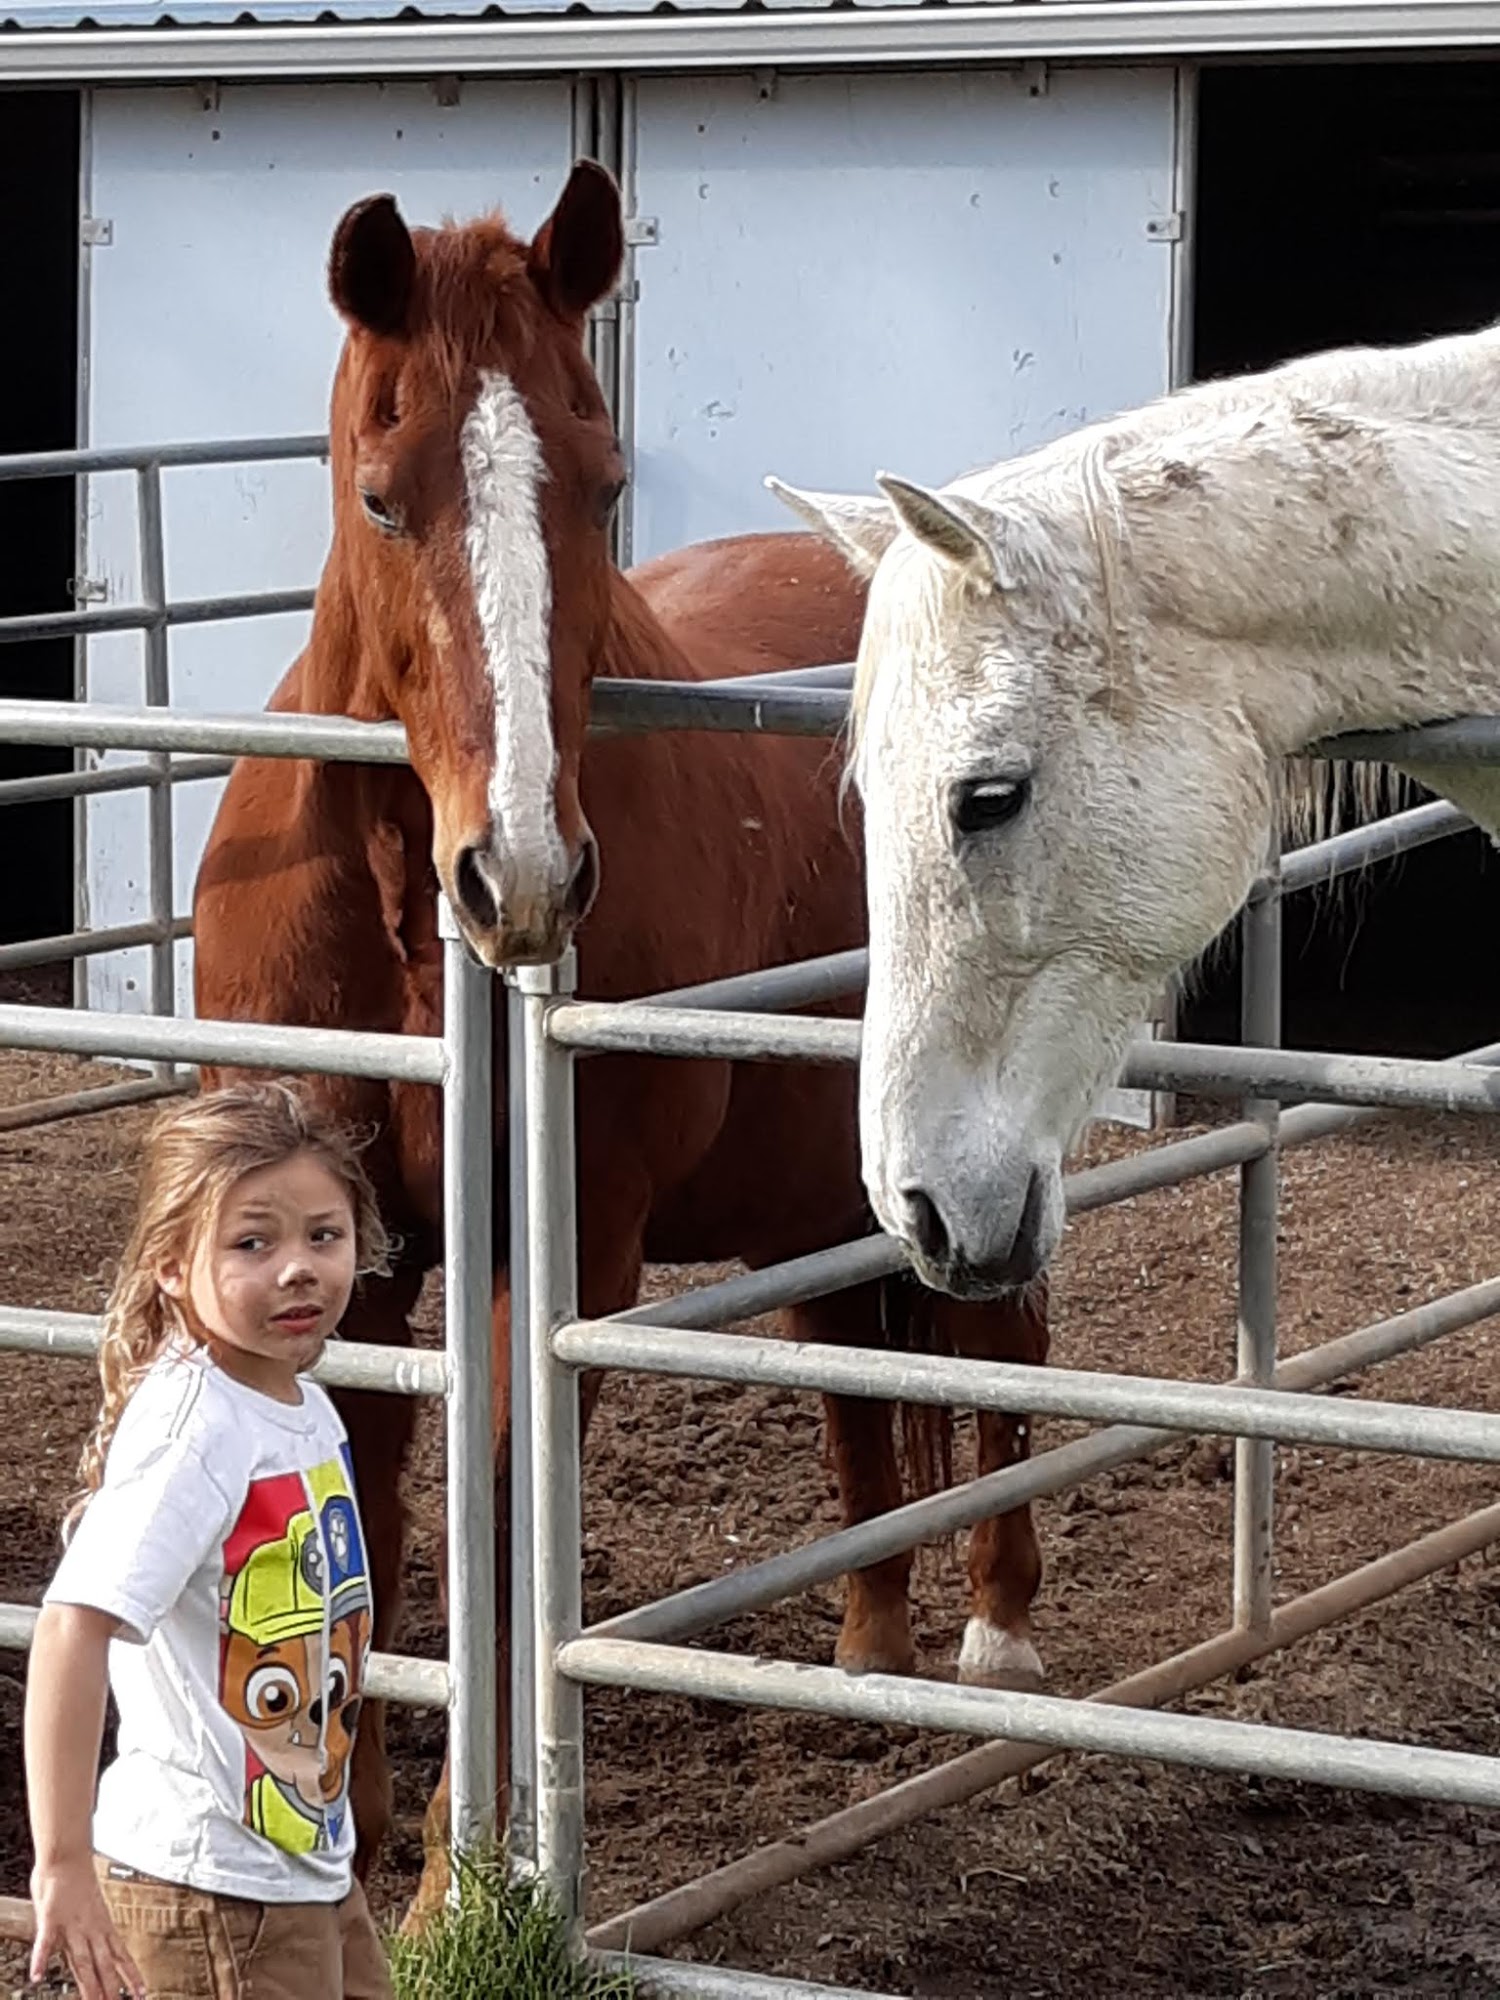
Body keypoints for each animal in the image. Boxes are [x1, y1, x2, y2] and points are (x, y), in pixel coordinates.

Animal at [192, 161, 1049, 1919]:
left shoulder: (565, 1248)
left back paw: (996, 1632)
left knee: (1003, 1333)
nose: (519, 876)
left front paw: (458, 1881)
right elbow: (362, 1493)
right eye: (382, 496)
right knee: (851, 1346)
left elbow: (506, 1502)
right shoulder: (342, 1251)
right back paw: (867, 1644)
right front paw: (345, 1843)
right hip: (831, 1168)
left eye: (603, 488)